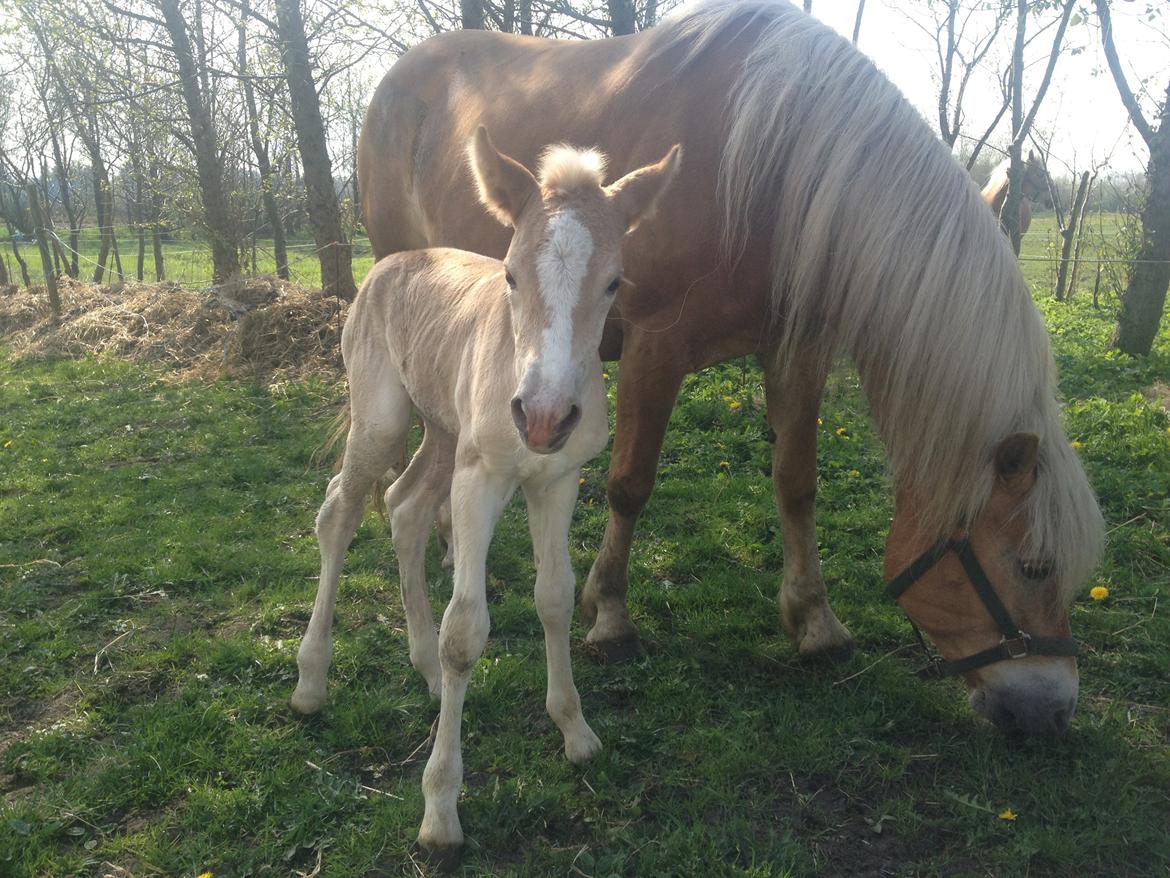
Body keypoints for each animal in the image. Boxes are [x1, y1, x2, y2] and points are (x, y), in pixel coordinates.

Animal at [286, 127, 683, 847]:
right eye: (510, 274)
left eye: (614, 282)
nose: (545, 417)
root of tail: (386, 265)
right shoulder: (480, 479)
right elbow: (465, 631)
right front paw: (440, 809)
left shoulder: (557, 479)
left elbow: (554, 597)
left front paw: (575, 730)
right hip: (384, 421)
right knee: (340, 513)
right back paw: (311, 681)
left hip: (443, 430)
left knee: (404, 508)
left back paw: (422, 668)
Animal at [360, 0, 1099, 735]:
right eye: (1033, 567)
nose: (1050, 707)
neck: (777, 168)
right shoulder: (655, 348)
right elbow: (629, 484)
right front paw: (611, 615)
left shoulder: (797, 349)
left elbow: (796, 483)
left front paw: (814, 620)